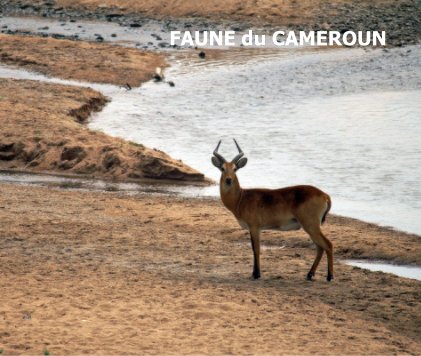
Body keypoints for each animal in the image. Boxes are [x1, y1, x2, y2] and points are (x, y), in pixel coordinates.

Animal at [212, 139, 334, 280]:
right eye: (222, 168)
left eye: (235, 169)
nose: (228, 180)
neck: (241, 198)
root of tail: (324, 195)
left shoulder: (254, 227)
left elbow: (256, 249)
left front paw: (256, 274)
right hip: (310, 227)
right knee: (320, 248)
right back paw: (310, 275)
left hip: (311, 225)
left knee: (328, 244)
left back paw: (329, 276)